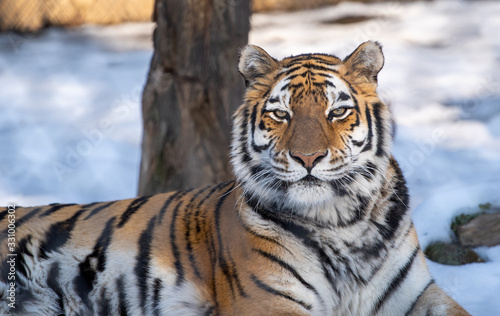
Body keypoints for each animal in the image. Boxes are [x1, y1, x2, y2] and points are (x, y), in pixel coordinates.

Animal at [0, 40, 468, 314]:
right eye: (282, 114)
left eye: (338, 111)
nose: (308, 157)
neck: (341, 221)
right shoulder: (268, 303)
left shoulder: (416, 294)